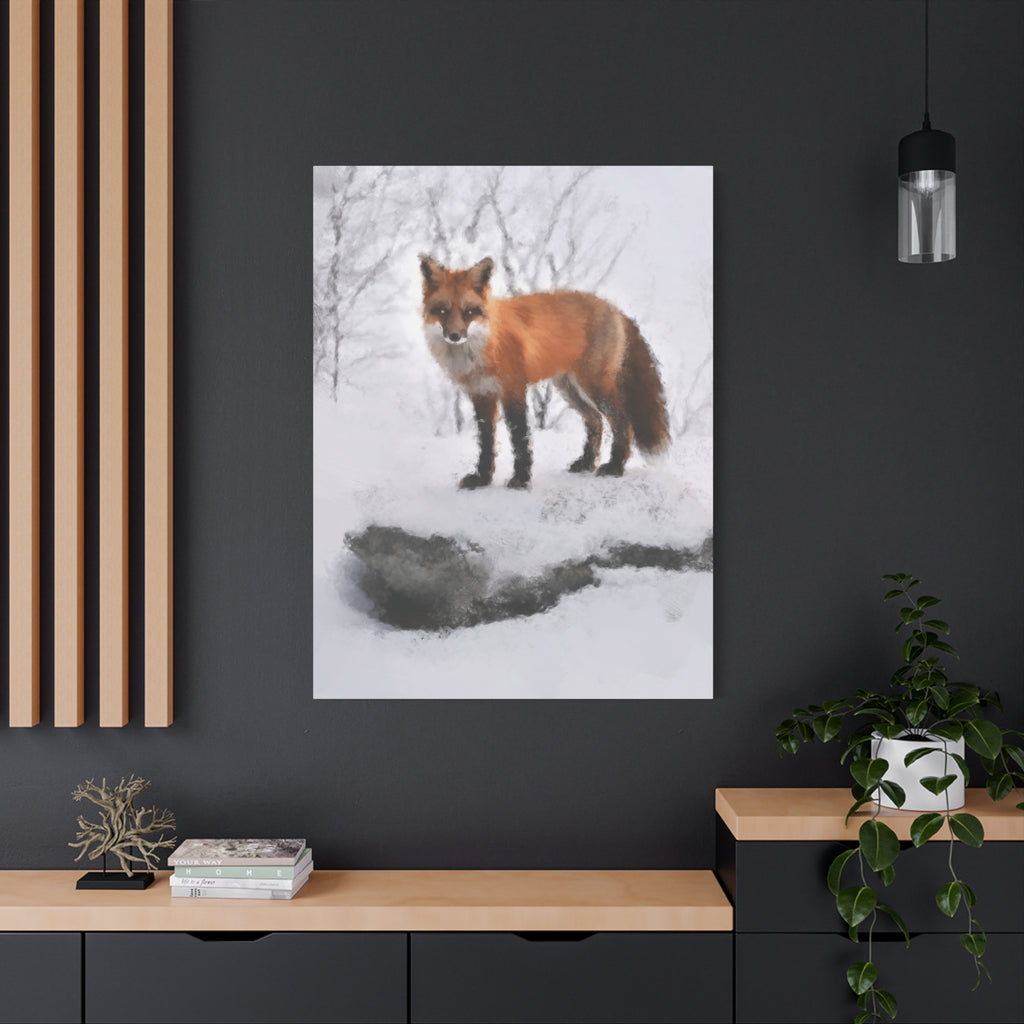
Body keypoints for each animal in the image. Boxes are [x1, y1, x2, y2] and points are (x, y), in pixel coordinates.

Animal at [420, 255, 670, 490]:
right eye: (442, 311)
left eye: (469, 312)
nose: (454, 336)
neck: (483, 347)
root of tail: (613, 307)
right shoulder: (481, 395)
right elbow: (486, 442)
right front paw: (482, 479)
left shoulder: (513, 389)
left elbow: (519, 438)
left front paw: (521, 479)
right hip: (570, 390)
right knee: (595, 421)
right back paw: (587, 463)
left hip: (594, 386)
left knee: (622, 422)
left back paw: (615, 467)